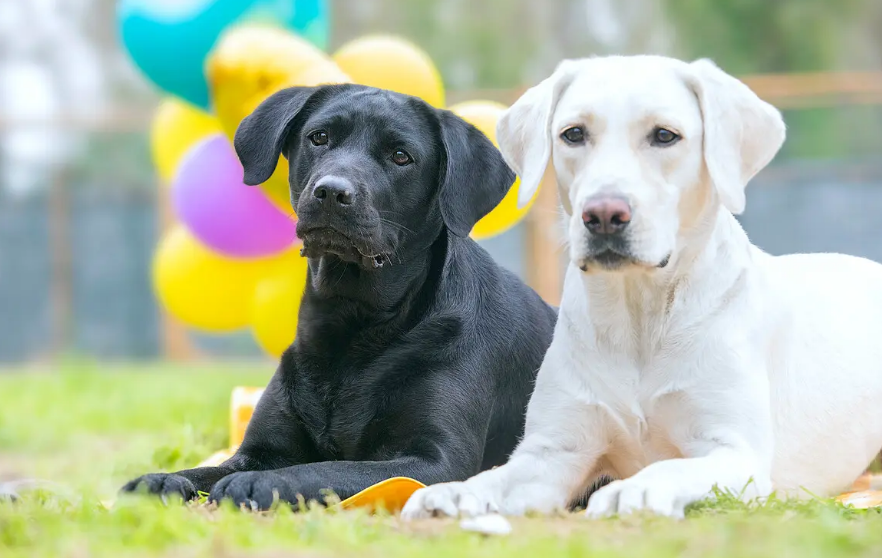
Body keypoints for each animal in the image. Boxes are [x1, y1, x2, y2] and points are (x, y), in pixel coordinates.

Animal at [120, 84, 552, 512]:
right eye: (320, 137)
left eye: (401, 156)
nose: (331, 192)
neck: (351, 319)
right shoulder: (259, 448)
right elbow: (205, 470)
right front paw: (159, 480)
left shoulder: (437, 461)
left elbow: (324, 469)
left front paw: (260, 484)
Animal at [402, 55, 880, 520]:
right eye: (573, 134)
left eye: (665, 135)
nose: (603, 215)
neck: (640, 315)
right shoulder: (554, 450)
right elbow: (493, 477)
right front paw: (452, 493)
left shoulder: (735, 453)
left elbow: (671, 467)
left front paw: (635, 490)